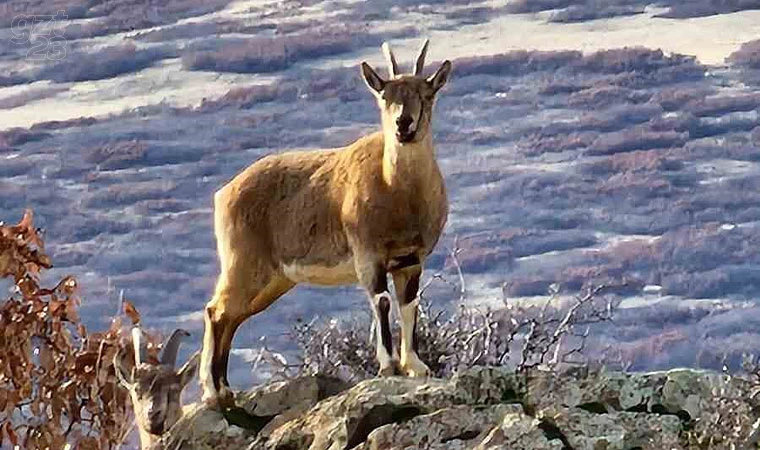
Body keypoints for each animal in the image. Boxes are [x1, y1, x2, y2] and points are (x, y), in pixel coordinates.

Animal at [199, 39, 454, 404]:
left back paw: (224, 387)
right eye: (384, 96)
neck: (397, 191)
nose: (403, 124)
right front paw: (388, 365)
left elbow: (409, 305)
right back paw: (212, 390)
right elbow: (382, 300)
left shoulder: (410, 260)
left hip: (273, 280)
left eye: (426, 93)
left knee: (232, 316)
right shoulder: (368, 255)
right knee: (216, 310)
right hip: (243, 263)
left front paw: (415, 366)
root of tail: (224, 194)